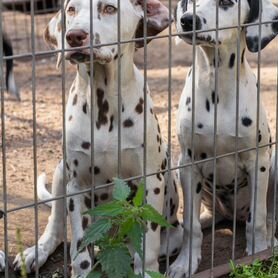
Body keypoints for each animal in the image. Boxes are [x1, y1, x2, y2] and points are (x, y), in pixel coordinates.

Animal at [12, 1, 182, 276]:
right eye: (71, 10)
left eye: (109, 8)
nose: (74, 36)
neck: (104, 105)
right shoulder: (76, 184)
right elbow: (81, 248)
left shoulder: (151, 182)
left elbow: (147, 242)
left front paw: (145, 269)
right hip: (60, 172)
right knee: (56, 226)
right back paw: (36, 251)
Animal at [170, 0, 278, 276]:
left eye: (226, 2)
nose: (188, 20)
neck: (216, 87)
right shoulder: (188, 165)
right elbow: (191, 227)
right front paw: (184, 263)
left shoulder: (258, 162)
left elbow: (257, 220)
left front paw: (258, 252)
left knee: (266, 217)